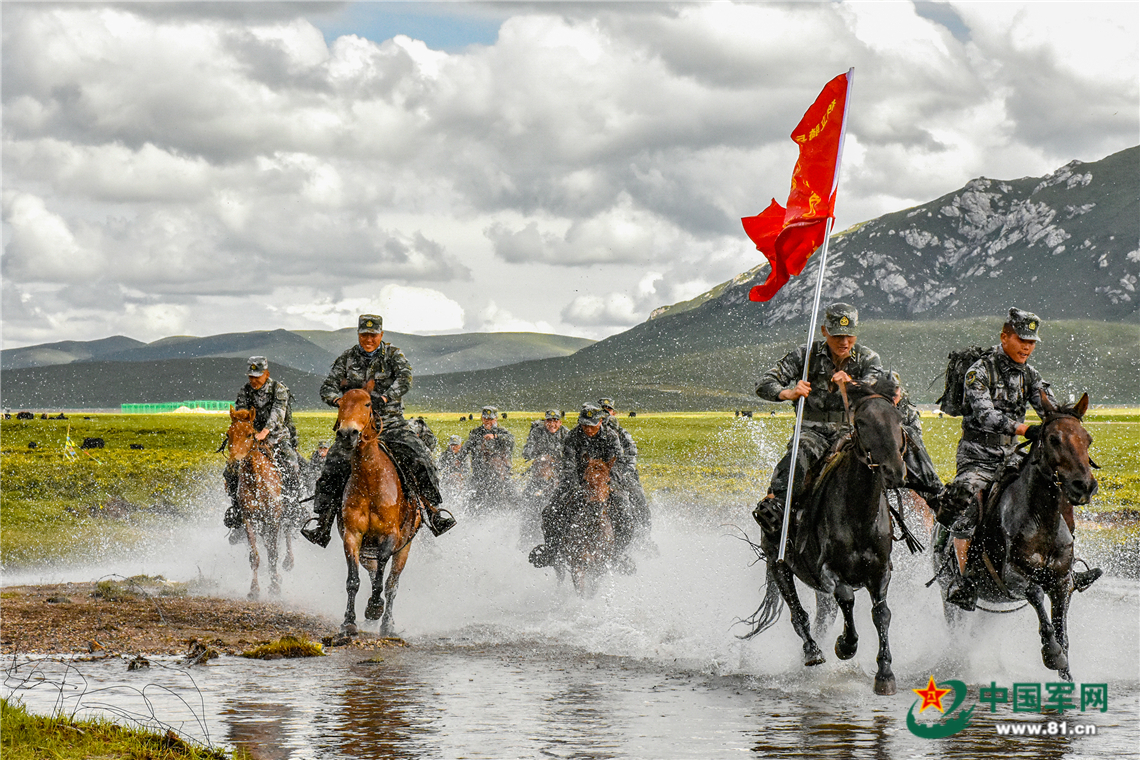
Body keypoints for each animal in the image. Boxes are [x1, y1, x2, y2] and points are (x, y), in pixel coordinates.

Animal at [223, 410, 294, 601]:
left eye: (249, 434)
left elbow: (273, 553)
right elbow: (254, 556)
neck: (257, 481)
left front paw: (275, 587)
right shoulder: (249, 520)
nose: (233, 465)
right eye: (228, 434)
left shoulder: (274, 519)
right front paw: (254, 589)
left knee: (287, 533)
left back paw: (288, 562)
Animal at [332, 380, 424, 638]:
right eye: (339, 403)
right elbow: (353, 580)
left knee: (392, 584)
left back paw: (387, 624)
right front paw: (349, 623)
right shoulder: (353, 536)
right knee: (373, 574)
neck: (370, 480)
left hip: (404, 549)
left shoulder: (390, 536)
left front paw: (374, 608)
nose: (347, 434)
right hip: (366, 551)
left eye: (367, 404)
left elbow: (384, 576)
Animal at [738, 373, 907, 697]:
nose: (894, 470)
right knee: (798, 613)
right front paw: (845, 646)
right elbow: (847, 598)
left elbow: (882, 613)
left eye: (898, 418)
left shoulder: (881, 570)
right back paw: (812, 652)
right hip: (778, 565)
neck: (859, 513)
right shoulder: (827, 571)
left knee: (822, 617)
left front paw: (885, 674)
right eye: (861, 422)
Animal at [934, 396, 1094, 679]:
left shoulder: (1063, 582)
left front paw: (1065, 668)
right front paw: (1052, 654)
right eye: (1053, 439)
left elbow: (1062, 626)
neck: (1042, 522)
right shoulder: (1011, 578)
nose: (1083, 486)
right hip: (948, 594)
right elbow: (1036, 593)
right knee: (956, 629)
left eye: (1088, 439)